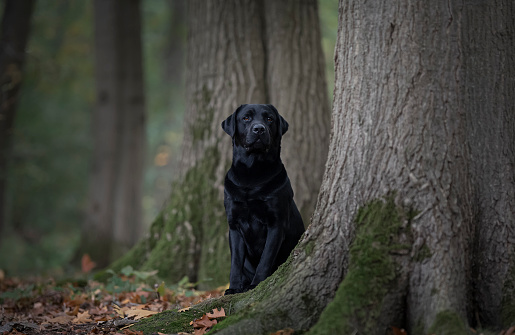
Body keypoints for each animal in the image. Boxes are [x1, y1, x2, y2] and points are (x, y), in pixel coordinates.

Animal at [221, 103, 302, 296]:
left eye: (269, 119)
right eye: (246, 118)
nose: (259, 129)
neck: (252, 174)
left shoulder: (276, 224)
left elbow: (266, 258)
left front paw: (256, 284)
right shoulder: (234, 225)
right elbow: (236, 262)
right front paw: (234, 288)